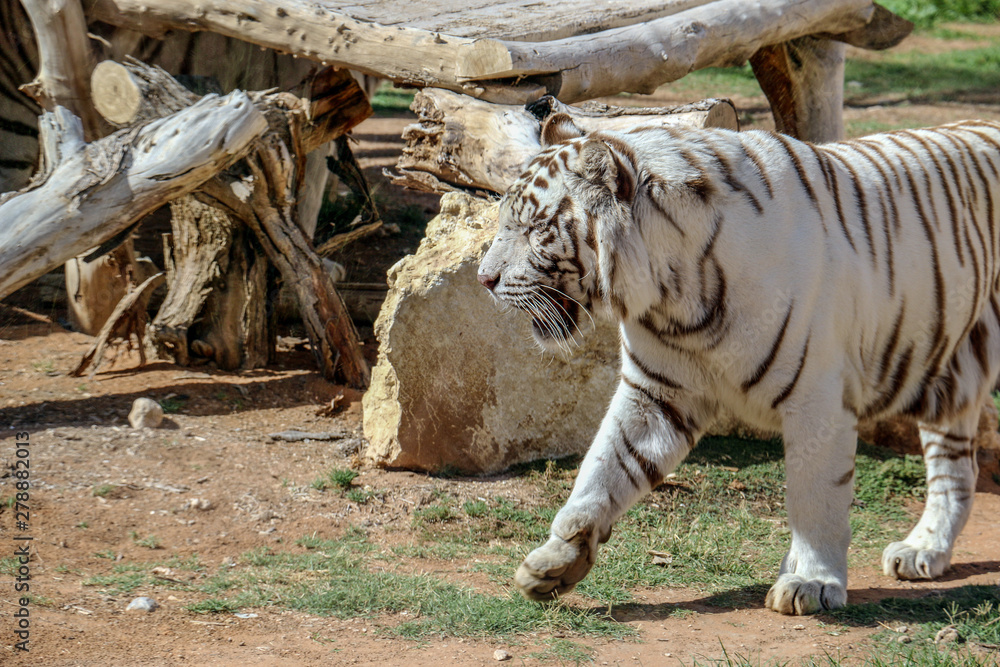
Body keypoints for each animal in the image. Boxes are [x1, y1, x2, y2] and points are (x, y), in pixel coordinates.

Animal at [477, 112, 1000, 615]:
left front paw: (812, 581)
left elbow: (816, 498)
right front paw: (555, 562)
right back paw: (923, 550)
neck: (674, 297)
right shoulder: (656, 392)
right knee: (956, 469)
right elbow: (603, 470)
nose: (484, 279)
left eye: (535, 229)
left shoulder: (817, 401)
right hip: (949, 371)